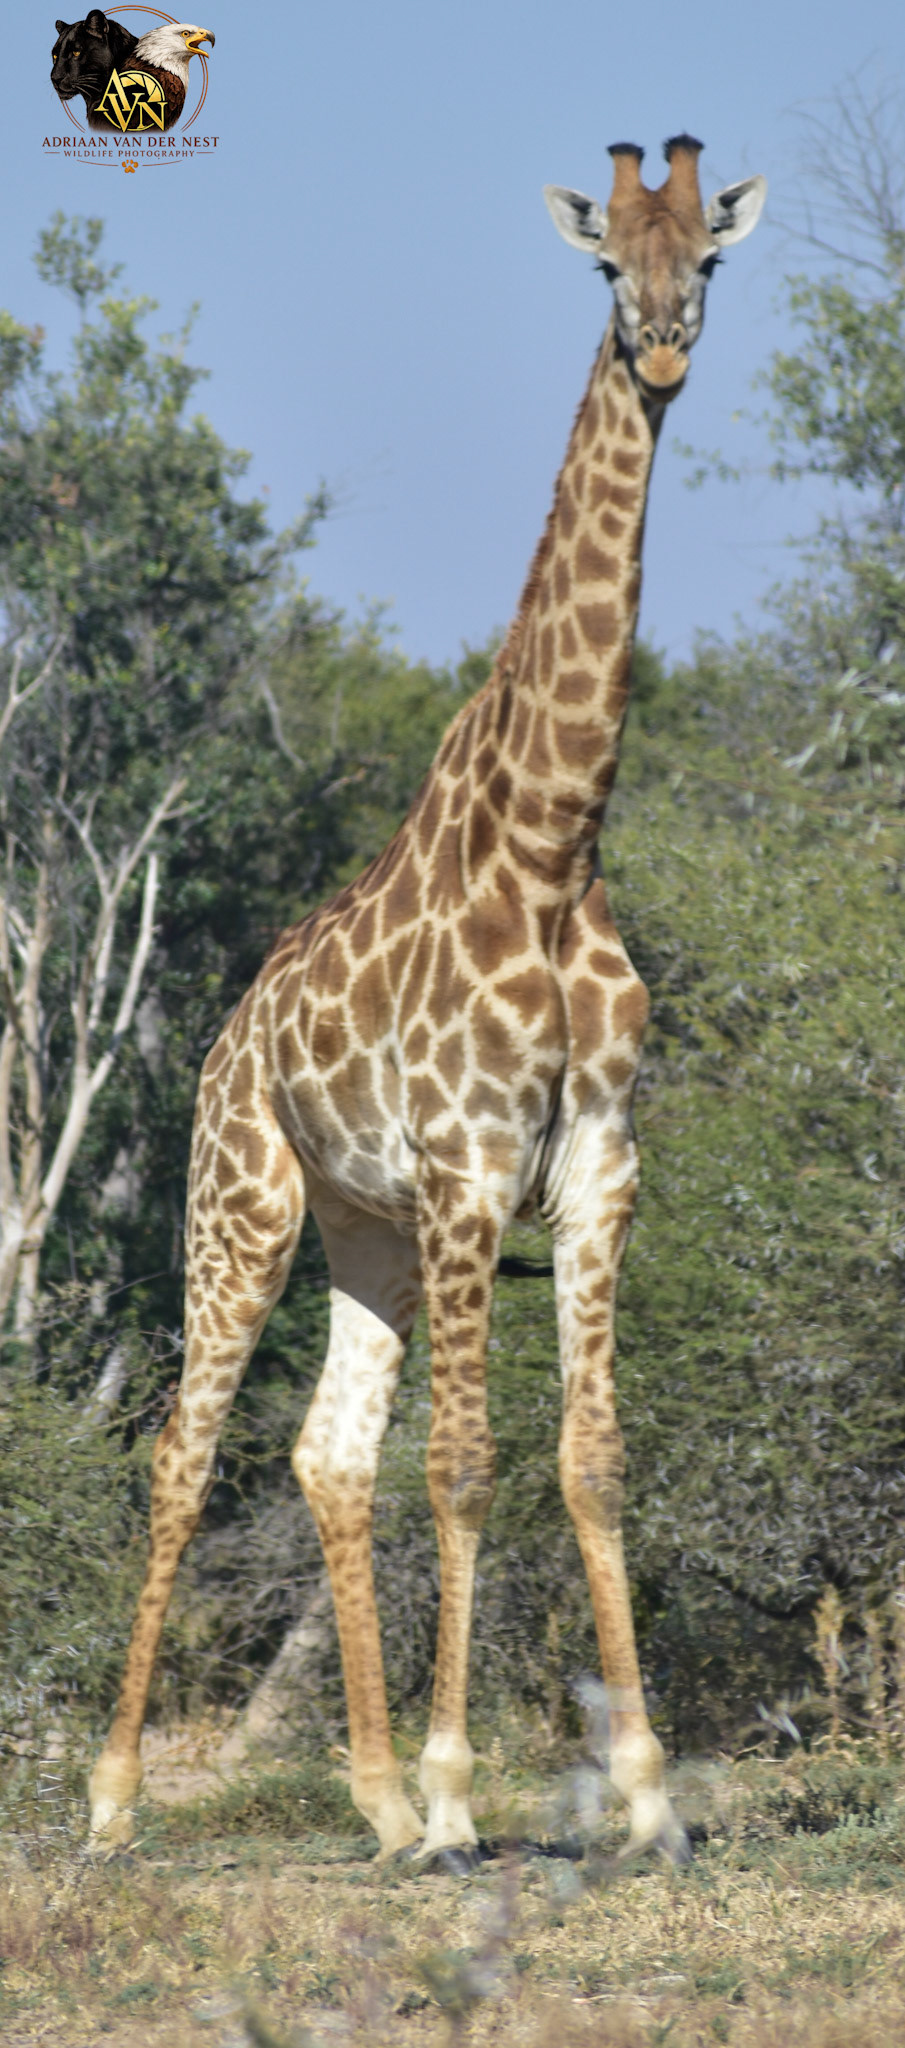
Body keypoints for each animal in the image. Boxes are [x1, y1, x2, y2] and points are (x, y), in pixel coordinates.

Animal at [89, 136, 766, 1864]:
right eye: (606, 266)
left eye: (708, 261)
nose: (665, 351)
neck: (552, 843)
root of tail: (226, 1039)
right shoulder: (471, 1169)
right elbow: (465, 1467)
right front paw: (470, 1797)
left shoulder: (594, 1172)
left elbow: (590, 1460)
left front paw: (642, 1797)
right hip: (243, 1200)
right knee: (190, 1451)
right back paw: (118, 1803)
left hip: (364, 1228)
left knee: (328, 1456)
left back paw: (378, 1803)